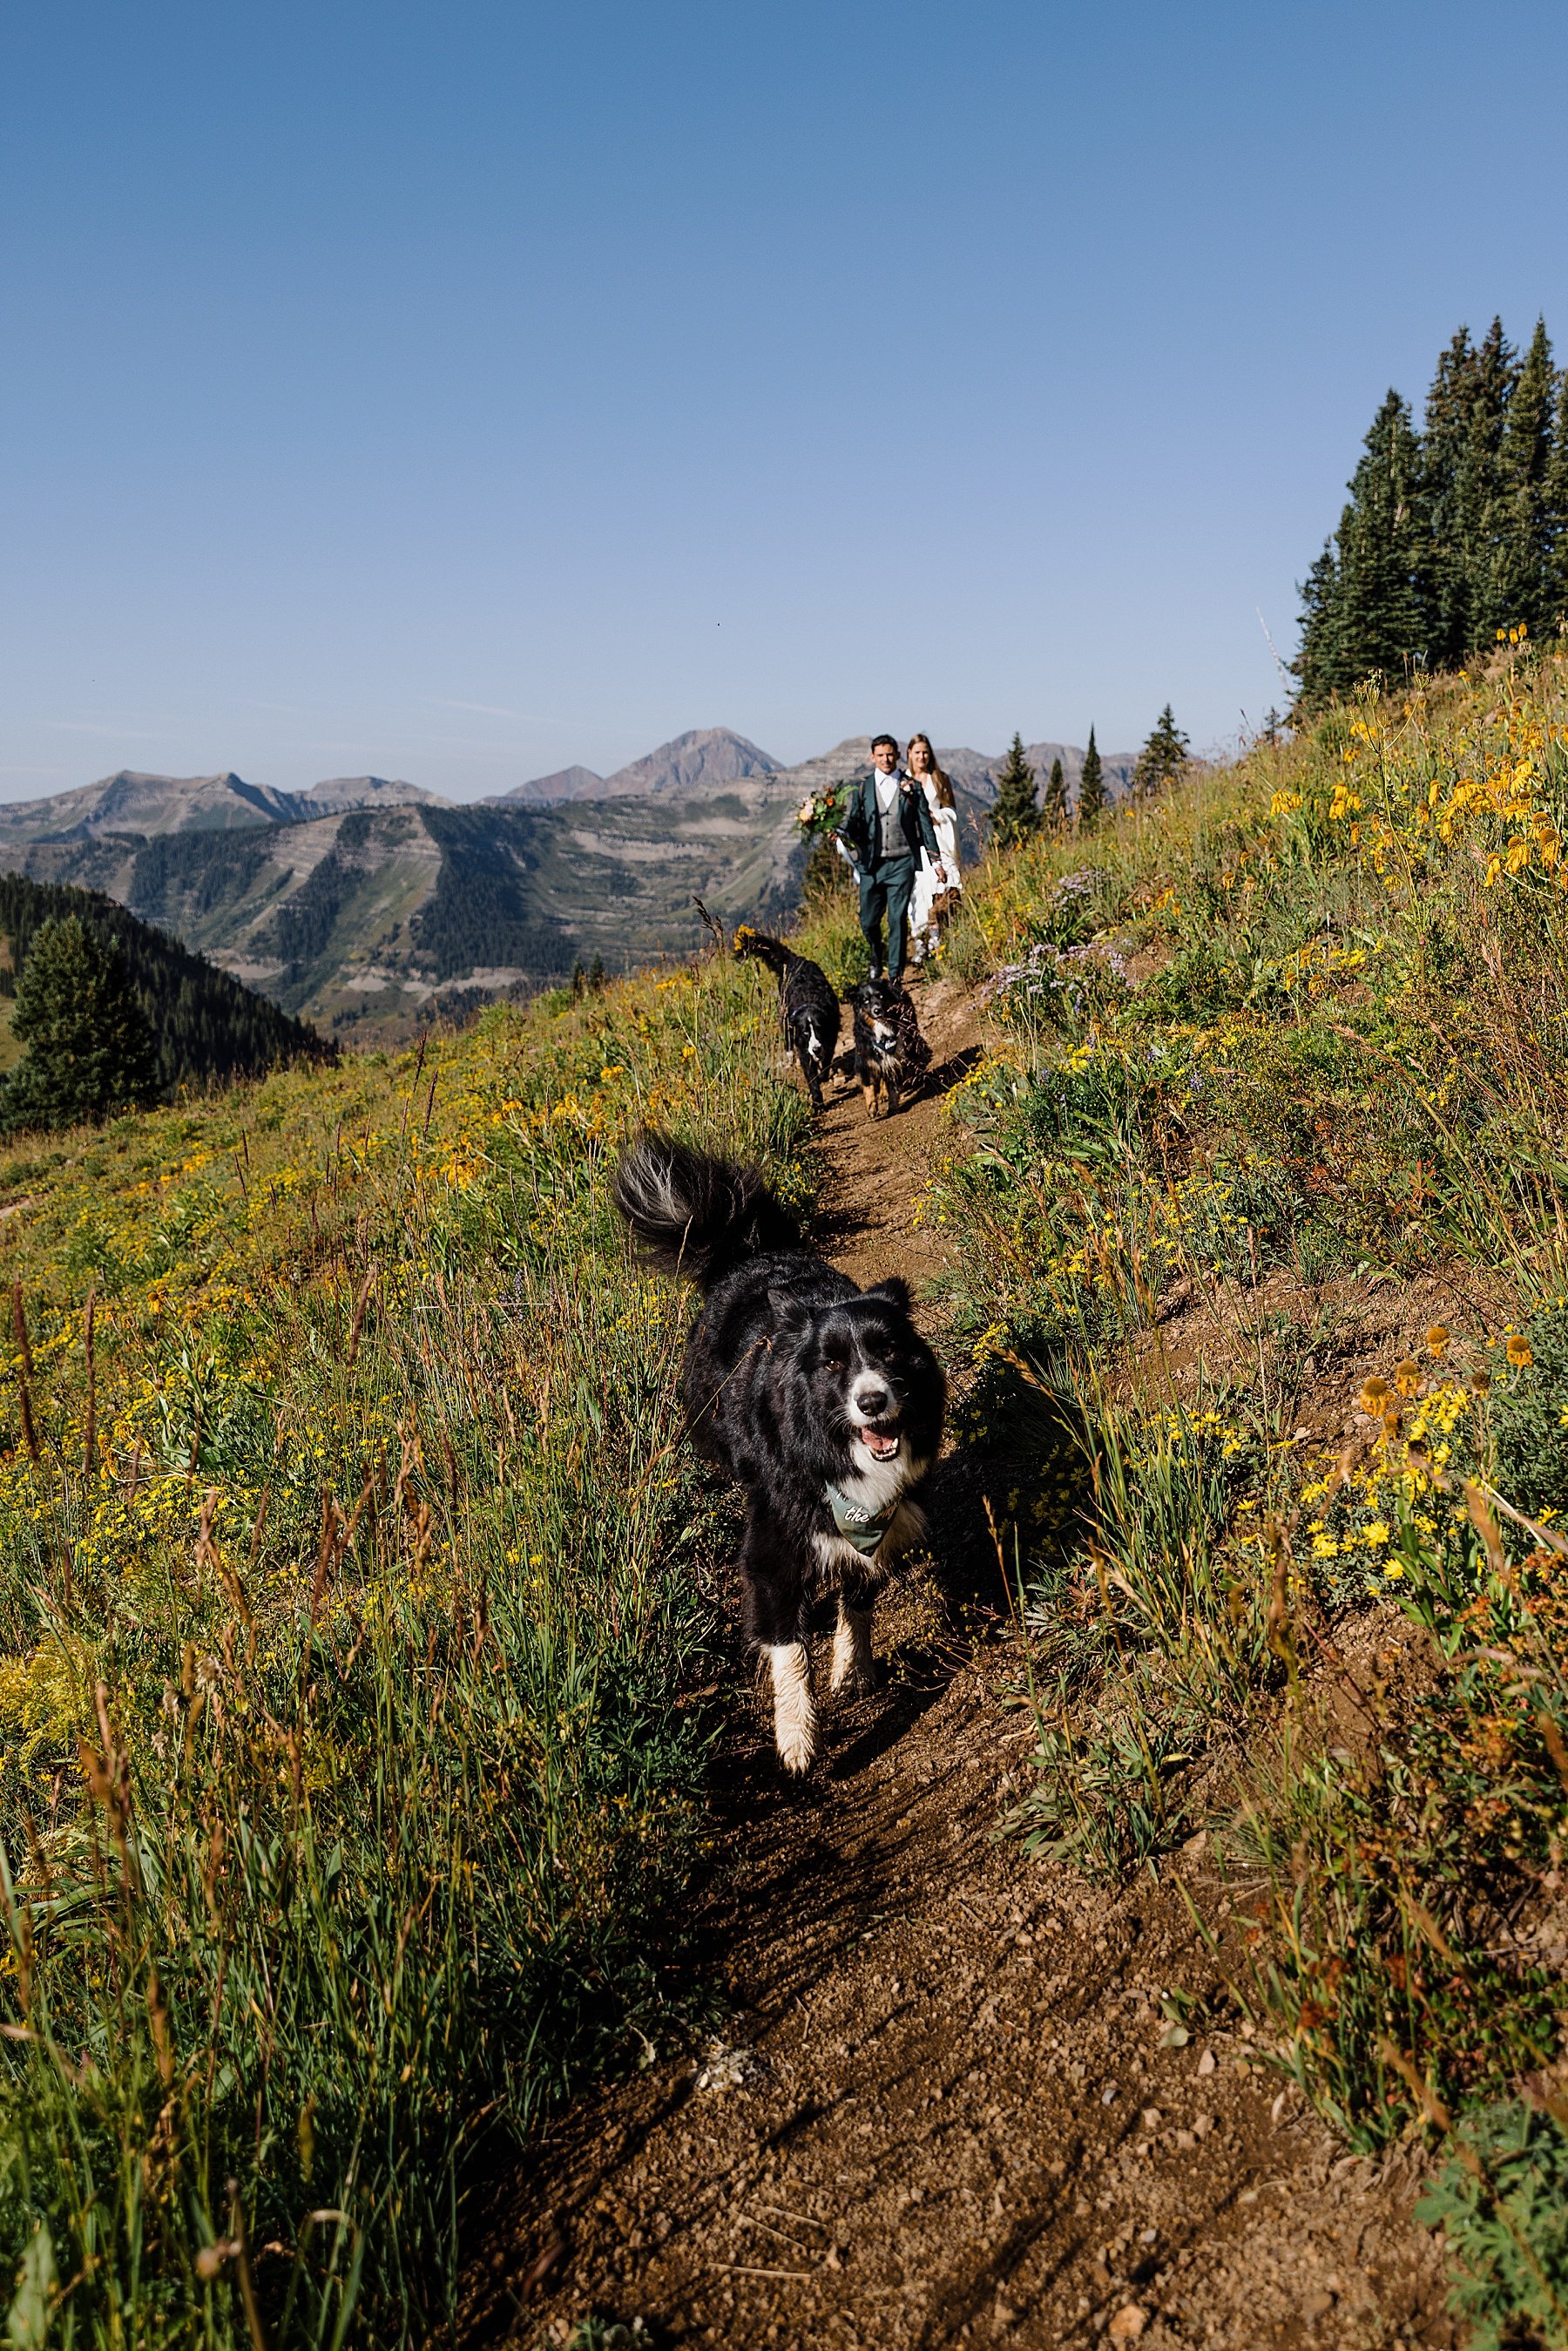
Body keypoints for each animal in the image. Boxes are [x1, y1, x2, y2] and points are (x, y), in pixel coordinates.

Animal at [611, 1128, 944, 1767]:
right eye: (832, 1364)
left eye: (889, 1351)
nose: (872, 1402)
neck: (833, 1450)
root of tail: (749, 1253)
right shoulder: (775, 1540)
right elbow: (789, 1646)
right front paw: (796, 1738)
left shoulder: (881, 1520)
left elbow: (858, 1595)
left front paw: (853, 1668)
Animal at [733, 926, 841, 1109]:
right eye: (805, 1032)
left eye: (819, 1028)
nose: (816, 1049)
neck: (810, 999)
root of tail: (793, 959)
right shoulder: (803, 1045)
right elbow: (810, 1073)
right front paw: (817, 1100)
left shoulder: (830, 1034)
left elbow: (827, 1059)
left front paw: (823, 1076)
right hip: (784, 1015)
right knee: (787, 1038)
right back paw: (790, 1055)